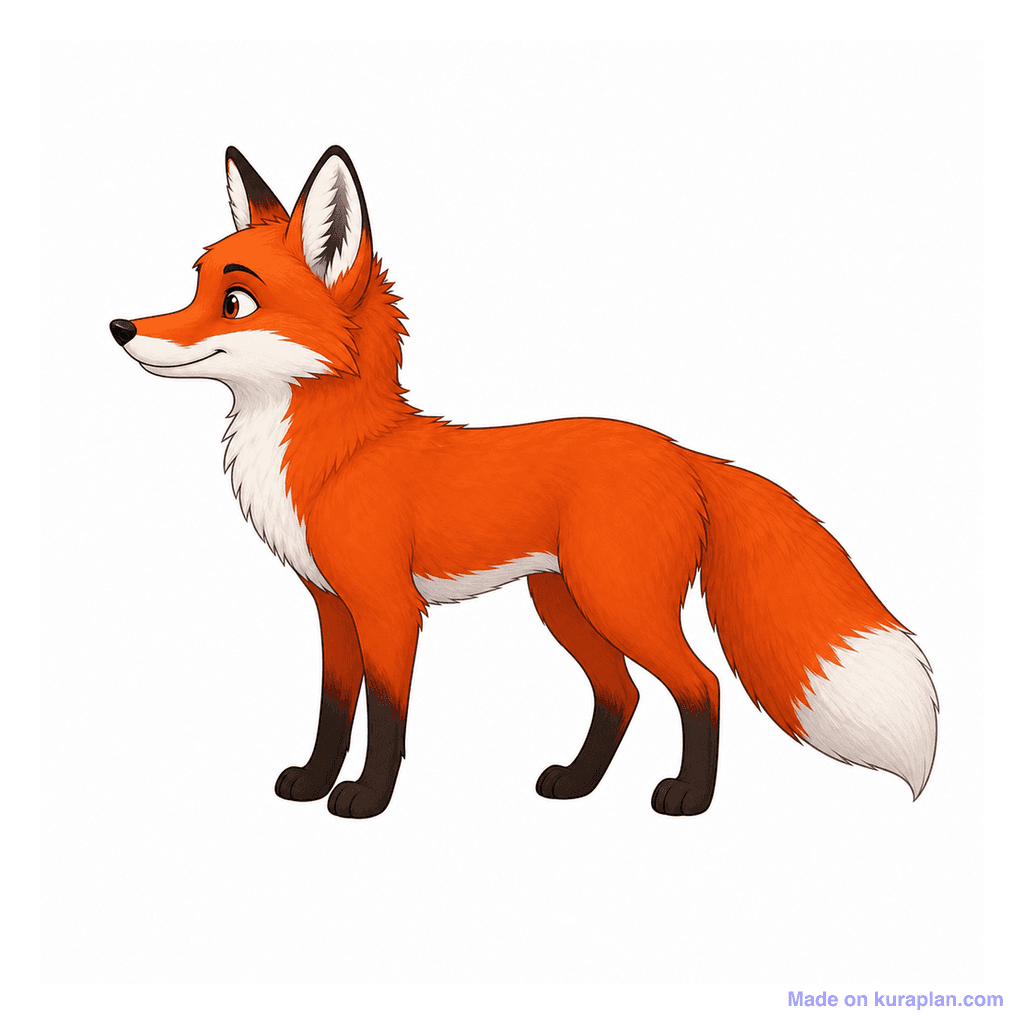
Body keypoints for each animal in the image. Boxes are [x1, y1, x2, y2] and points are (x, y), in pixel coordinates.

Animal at [111, 145, 938, 819]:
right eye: (193, 287)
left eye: (235, 301)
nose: (120, 327)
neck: (340, 455)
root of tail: (682, 452)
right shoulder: (332, 608)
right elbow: (333, 710)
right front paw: (314, 782)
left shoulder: (388, 610)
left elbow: (385, 718)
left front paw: (366, 800)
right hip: (567, 604)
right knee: (622, 693)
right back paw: (576, 783)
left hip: (617, 602)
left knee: (700, 686)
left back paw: (687, 799)